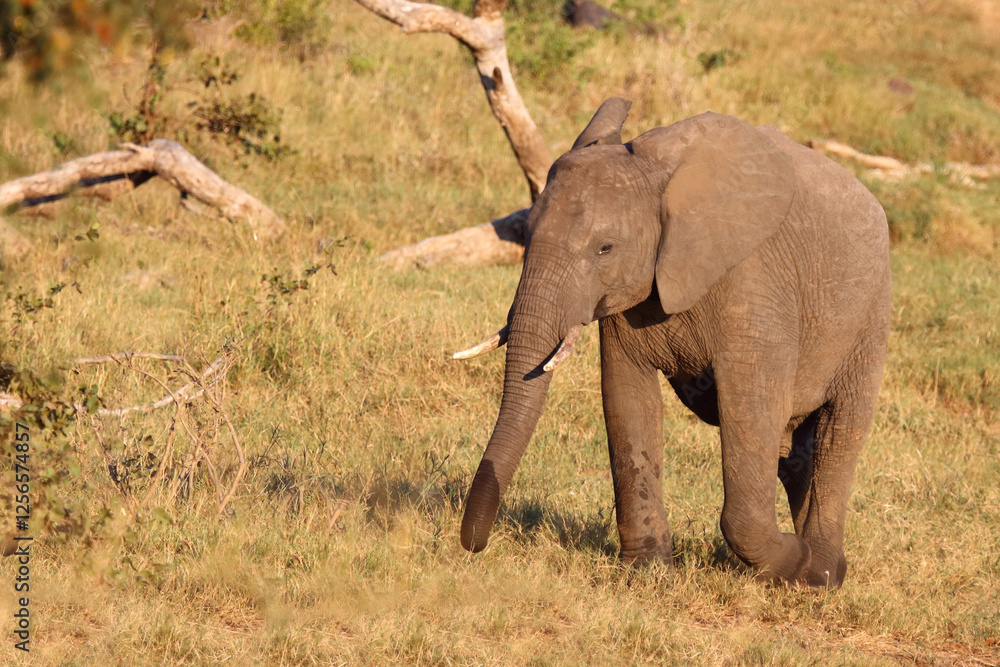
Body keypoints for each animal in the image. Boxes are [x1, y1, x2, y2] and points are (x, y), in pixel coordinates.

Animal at [453, 97, 891, 587]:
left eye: (605, 248)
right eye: (524, 234)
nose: (474, 547)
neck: (655, 173)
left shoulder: (756, 283)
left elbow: (752, 407)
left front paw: (795, 562)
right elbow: (627, 399)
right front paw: (648, 572)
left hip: (870, 315)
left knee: (839, 434)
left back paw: (822, 573)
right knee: (795, 453)